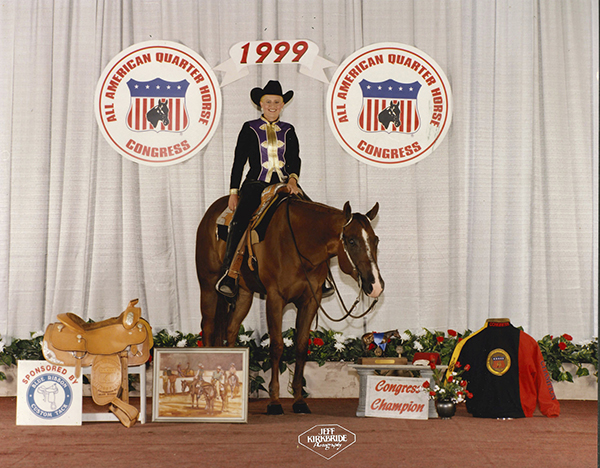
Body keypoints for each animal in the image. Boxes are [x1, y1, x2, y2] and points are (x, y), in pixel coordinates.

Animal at [197, 196, 384, 414]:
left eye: (375, 240)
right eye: (352, 241)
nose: (376, 286)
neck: (300, 245)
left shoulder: (310, 300)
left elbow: (301, 346)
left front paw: (299, 400)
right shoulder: (275, 299)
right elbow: (277, 346)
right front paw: (274, 401)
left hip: (244, 294)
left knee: (231, 329)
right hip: (208, 286)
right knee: (208, 328)